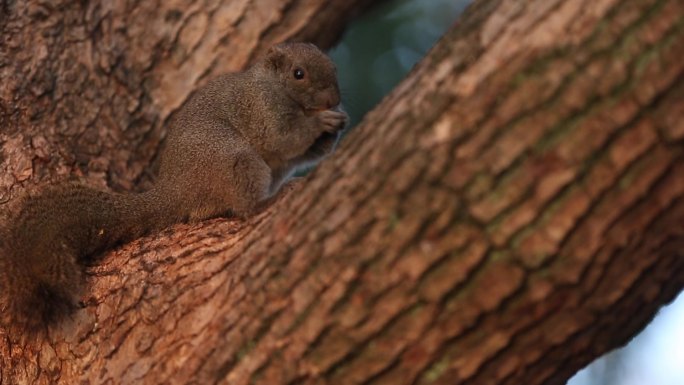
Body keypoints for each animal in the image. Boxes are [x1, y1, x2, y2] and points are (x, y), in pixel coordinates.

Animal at [0, 42, 350, 330]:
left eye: (334, 68)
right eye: (298, 73)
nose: (333, 99)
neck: (275, 88)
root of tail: (176, 189)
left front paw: (338, 121)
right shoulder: (262, 110)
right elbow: (283, 139)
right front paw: (322, 122)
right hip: (235, 161)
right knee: (246, 207)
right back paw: (270, 200)